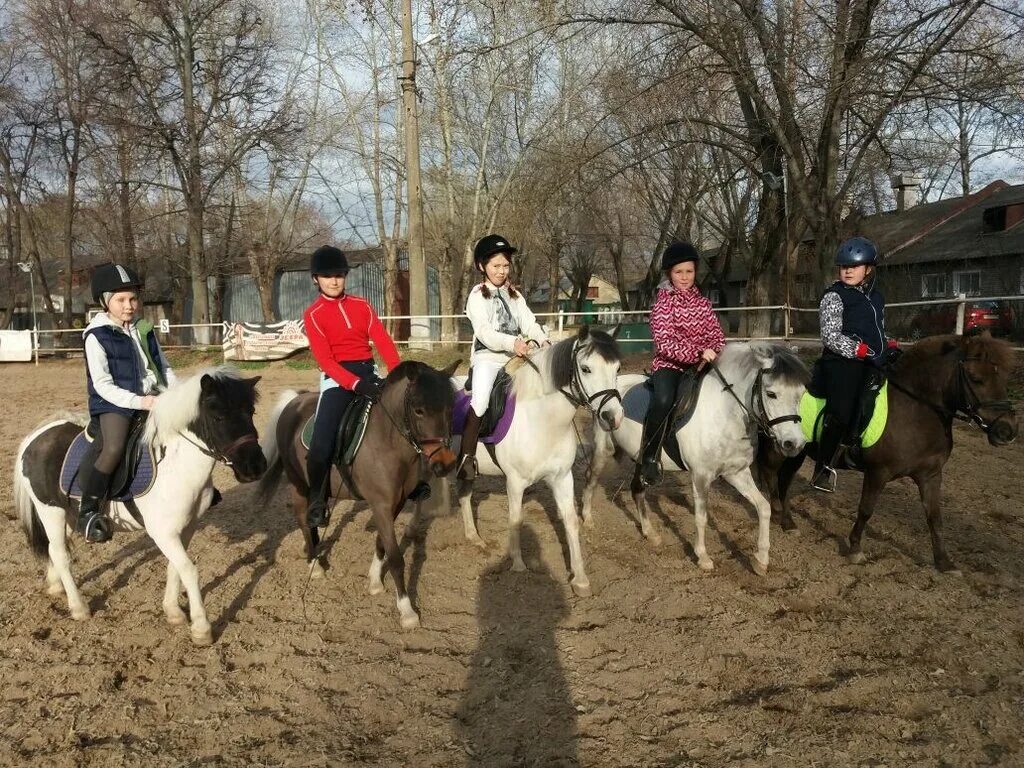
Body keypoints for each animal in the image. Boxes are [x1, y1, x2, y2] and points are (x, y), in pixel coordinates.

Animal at [12, 370, 264, 647]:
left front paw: (173, 612)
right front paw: (201, 628)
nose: (255, 467)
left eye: (251, 412)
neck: (176, 465)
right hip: (51, 511)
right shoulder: (163, 533)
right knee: (60, 554)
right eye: (218, 416)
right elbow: (189, 570)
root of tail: (36, 437)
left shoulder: (186, 527)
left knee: (53, 549)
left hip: (67, 514)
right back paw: (78, 607)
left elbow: (175, 567)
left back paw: (56, 587)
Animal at [258, 360, 458, 630]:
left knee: (311, 519)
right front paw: (407, 610)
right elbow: (396, 557)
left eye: (450, 408)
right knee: (302, 519)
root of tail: (294, 401)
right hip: (298, 483)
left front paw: (374, 581)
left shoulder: (393, 504)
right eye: (418, 410)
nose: (445, 464)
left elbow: (382, 544)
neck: (388, 441)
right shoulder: (381, 505)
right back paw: (314, 564)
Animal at [454, 325, 622, 593]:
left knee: (464, 495)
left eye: (618, 368)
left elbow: (570, 520)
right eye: (586, 368)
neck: (542, 420)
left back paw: (474, 538)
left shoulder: (562, 478)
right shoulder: (515, 482)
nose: (613, 417)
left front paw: (580, 578)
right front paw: (518, 565)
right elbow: (516, 520)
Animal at [585, 344, 806, 577]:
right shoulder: (700, 476)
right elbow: (701, 517)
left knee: (637, 489)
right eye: (771, 394)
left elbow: (764, 508)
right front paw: (703, 557)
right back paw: (587, 520)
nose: (794, 443)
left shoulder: (736, 473)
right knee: (591, 478)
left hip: (640, 459)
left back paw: (650, 533)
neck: (723, 413)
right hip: (603, 450)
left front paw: (761, 560)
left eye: (801, 394)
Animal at [761, 333, 1015, 573]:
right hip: (781, 447)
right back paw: (776, 513)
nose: (1007, 431)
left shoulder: (931, 475)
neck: (914, 409)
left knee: (784, 481)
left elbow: (935, 517)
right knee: (772, 475)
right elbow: (866, 509)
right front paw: (855, 548)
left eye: (1004, 377)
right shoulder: (878, 472)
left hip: (797, 451)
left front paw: (944, 562)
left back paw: (788, 523)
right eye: (975, 378)